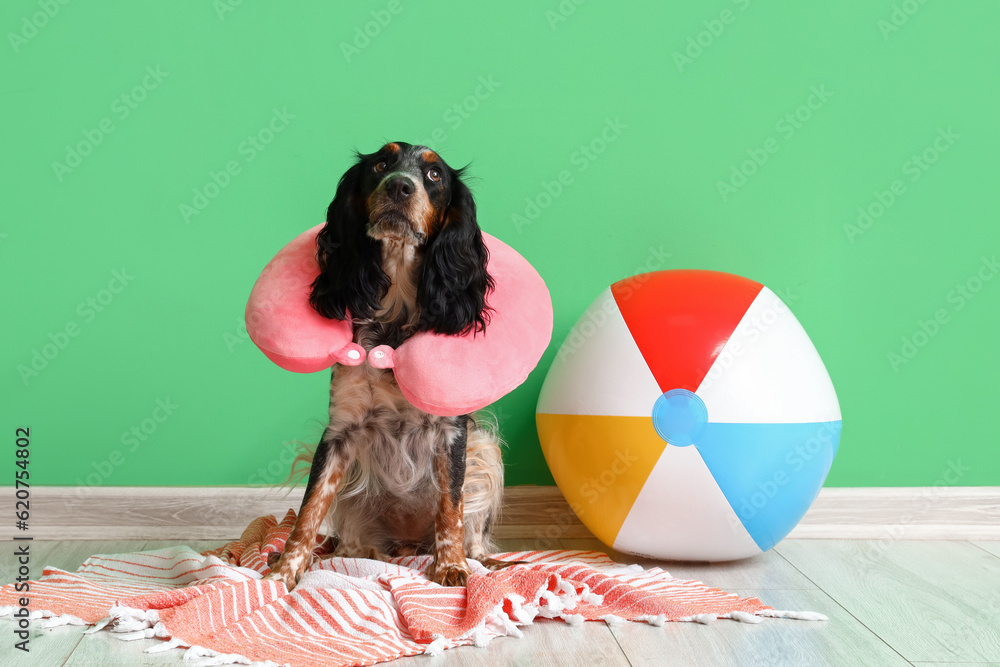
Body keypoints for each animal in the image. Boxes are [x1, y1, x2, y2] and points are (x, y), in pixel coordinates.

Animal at [266, 142, 516, 588]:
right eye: (381, 164)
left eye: (434, 175)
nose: (400, 186)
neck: (396, 317)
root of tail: (408, 545)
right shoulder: (340, 433)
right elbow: (309, 510)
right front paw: (286, 570)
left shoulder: (453, 433)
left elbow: (450, 508)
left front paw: (451, 566)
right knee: (352, 544)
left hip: (485, 451)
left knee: (470, 532)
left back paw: (481, 560)